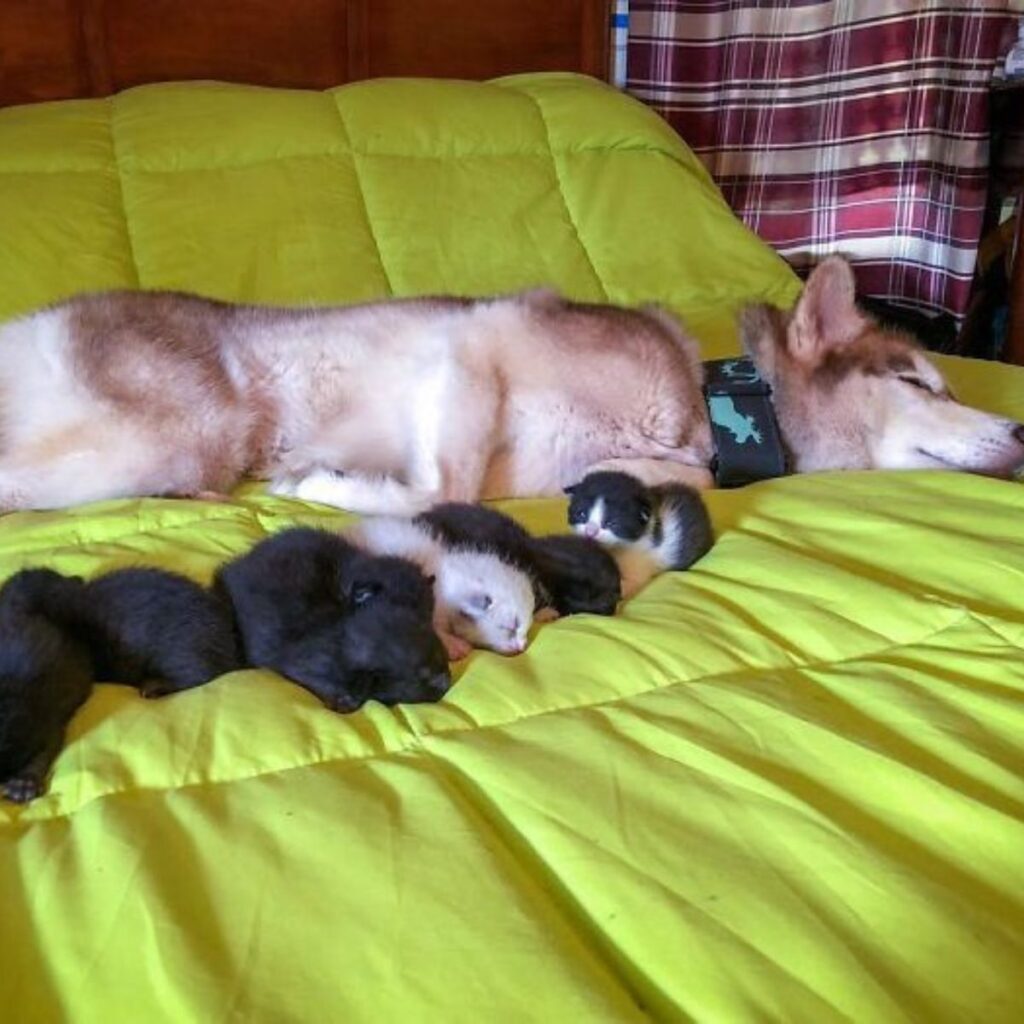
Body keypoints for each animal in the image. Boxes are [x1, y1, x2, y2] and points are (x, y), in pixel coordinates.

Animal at [2, 256, 1024, 512]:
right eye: (919, 380)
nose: (1020, 437)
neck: (713, 410)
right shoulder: (471, 347)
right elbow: (442, 493)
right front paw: (331, 486)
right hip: (166, 438)